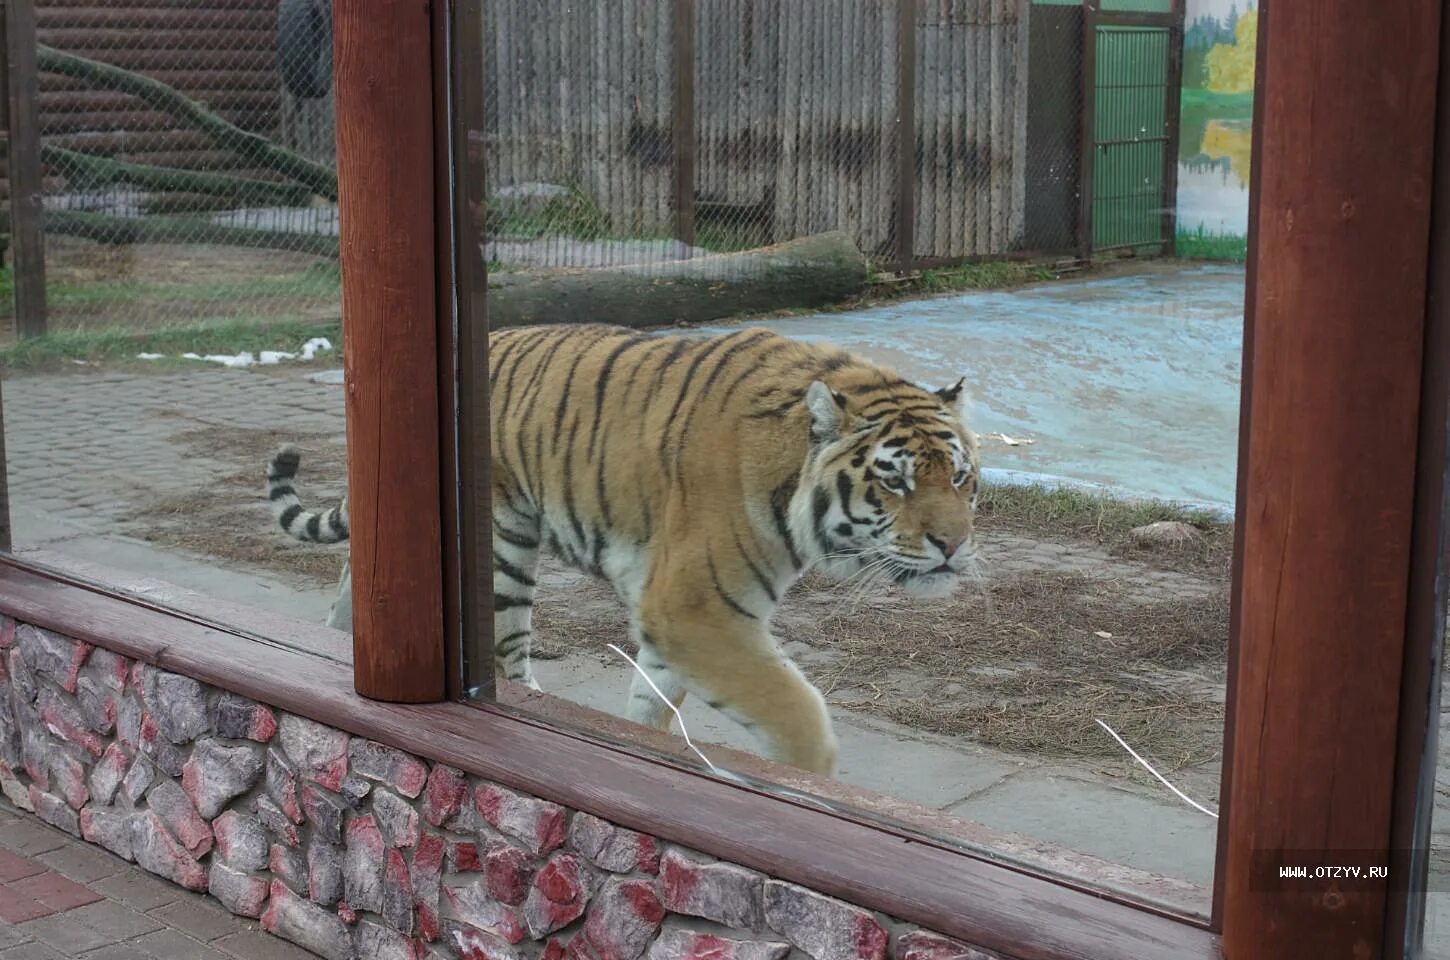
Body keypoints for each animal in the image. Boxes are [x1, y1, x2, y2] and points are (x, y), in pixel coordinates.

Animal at [266, 324, 980, 783]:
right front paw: (814, 786)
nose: (954, 545)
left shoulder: (677, 616)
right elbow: (794, 711)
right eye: (895, 481)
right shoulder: (696, 609)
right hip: (502, 549)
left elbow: (653, 700)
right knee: (503, 650)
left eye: (961, 477)